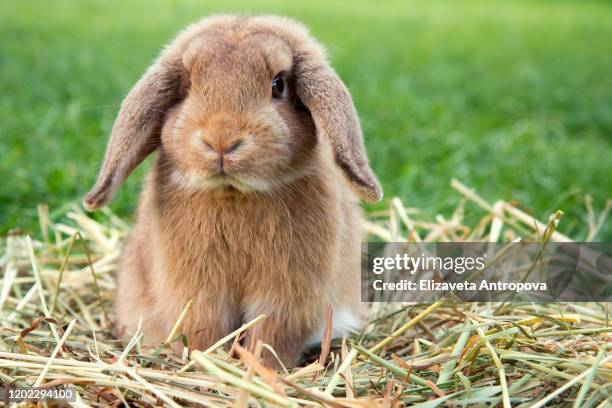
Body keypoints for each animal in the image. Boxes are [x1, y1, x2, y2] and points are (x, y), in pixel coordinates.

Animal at [85, 14, 382, 368]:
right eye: (188, 85)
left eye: (278, 84)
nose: (221, 141)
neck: (234, 193)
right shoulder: (199, 295)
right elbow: (205, 330)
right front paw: (207, 362)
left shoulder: (286, 297)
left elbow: (270, 335)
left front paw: (261, 368)